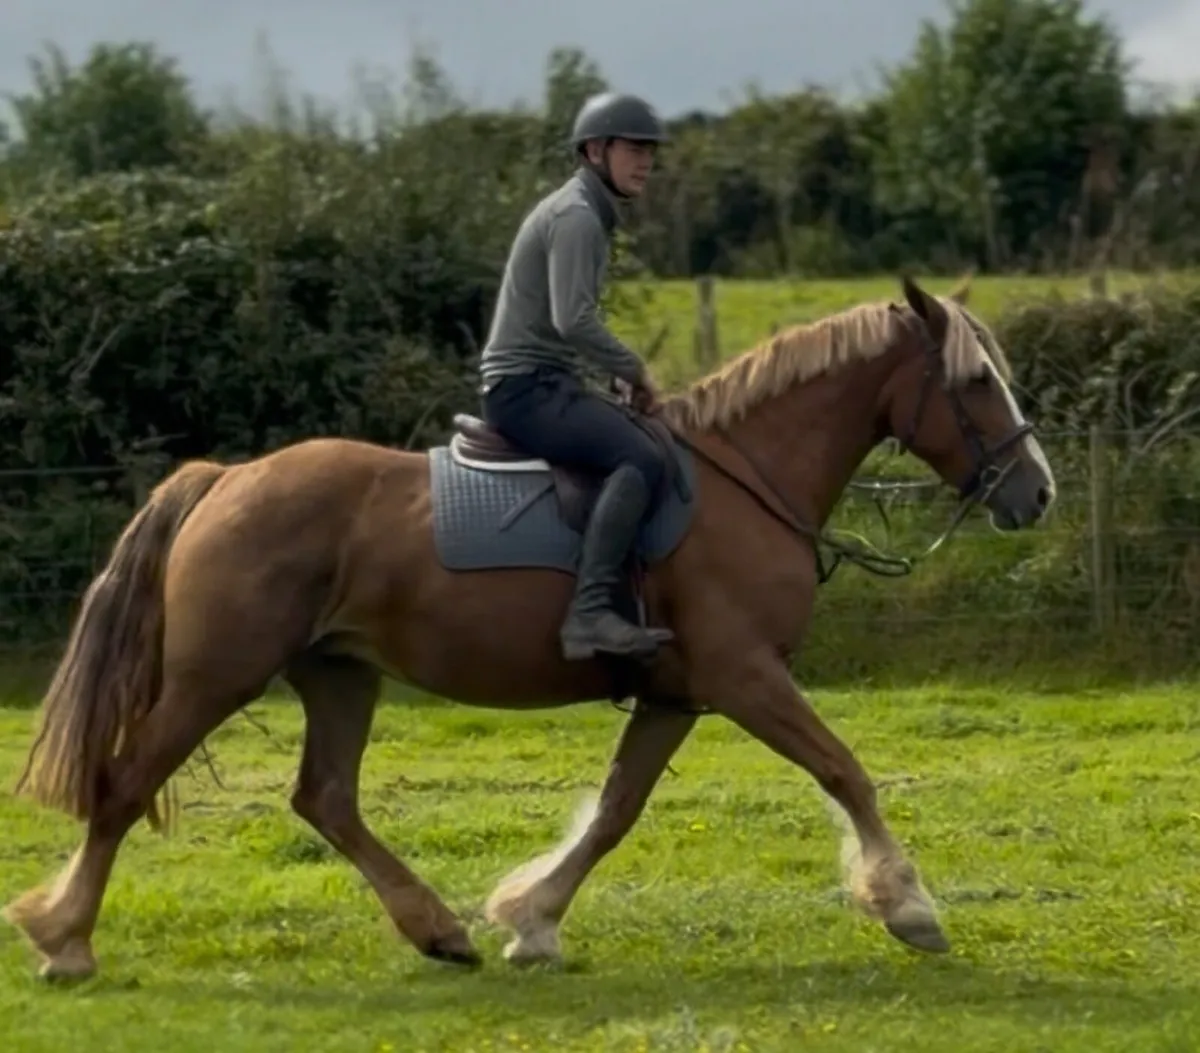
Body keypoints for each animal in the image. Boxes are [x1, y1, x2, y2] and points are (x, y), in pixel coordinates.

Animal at [3, 275, 1055, 981]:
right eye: (977, 380)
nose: (1035, 491)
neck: (743, 478)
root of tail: (227, 479)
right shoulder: (744, 675)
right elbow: (844, 770)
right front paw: (909, 907)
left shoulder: (679, 694)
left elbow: (616, 810)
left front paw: (531, 919)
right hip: (215, 675)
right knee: (126, 785)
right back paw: (66, 940)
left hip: (338, 672)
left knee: (326, 798)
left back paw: (438, 929)